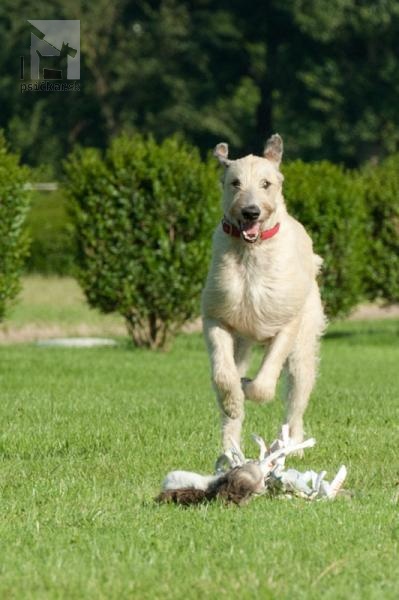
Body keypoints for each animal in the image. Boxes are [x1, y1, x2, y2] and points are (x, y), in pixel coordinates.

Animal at [202, 135, 326, 450]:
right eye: (235, 182)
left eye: (266, 183)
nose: (251, 212)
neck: (252, 251)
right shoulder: (217, 316)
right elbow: (223, 373)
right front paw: (233, 399)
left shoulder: (287, 322)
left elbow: (264, 384)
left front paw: (249, 386)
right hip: (242, 342)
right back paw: (230, 447)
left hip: (304, 343)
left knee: (297, 393)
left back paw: (292, 444)